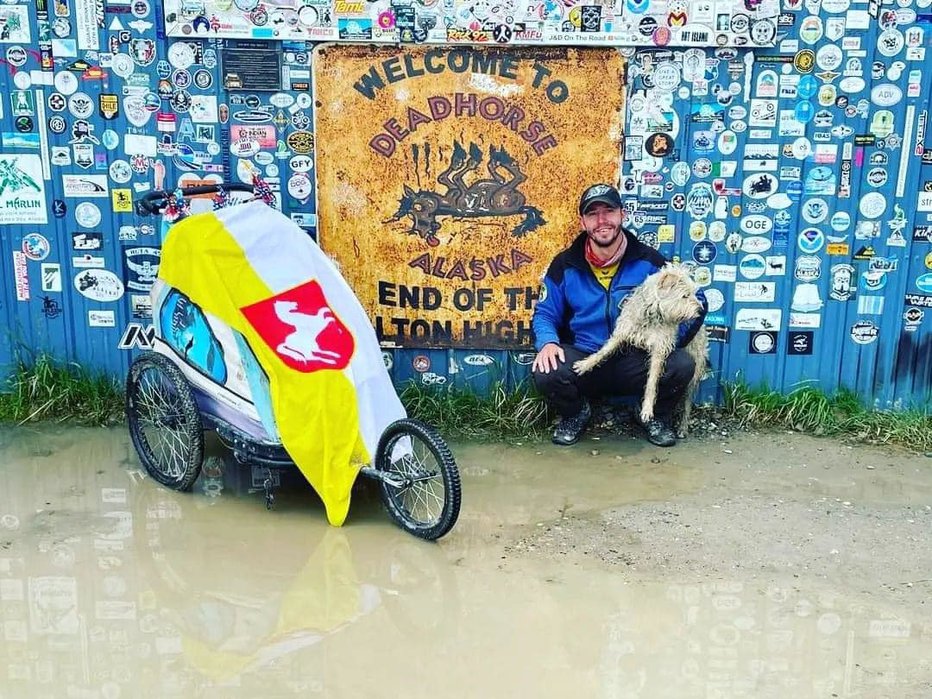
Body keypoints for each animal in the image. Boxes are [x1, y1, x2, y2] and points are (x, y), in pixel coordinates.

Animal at [572, 264, 708, 438]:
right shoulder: (623, 331)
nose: (701, 310)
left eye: (693, 293)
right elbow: (603, 351)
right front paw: (586, 364)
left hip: (695, 370)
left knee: (687, 403)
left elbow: (652, 382)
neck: (651, 314)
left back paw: (683, 427)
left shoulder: (659, 349)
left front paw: (647, 408)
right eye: (685, 295)